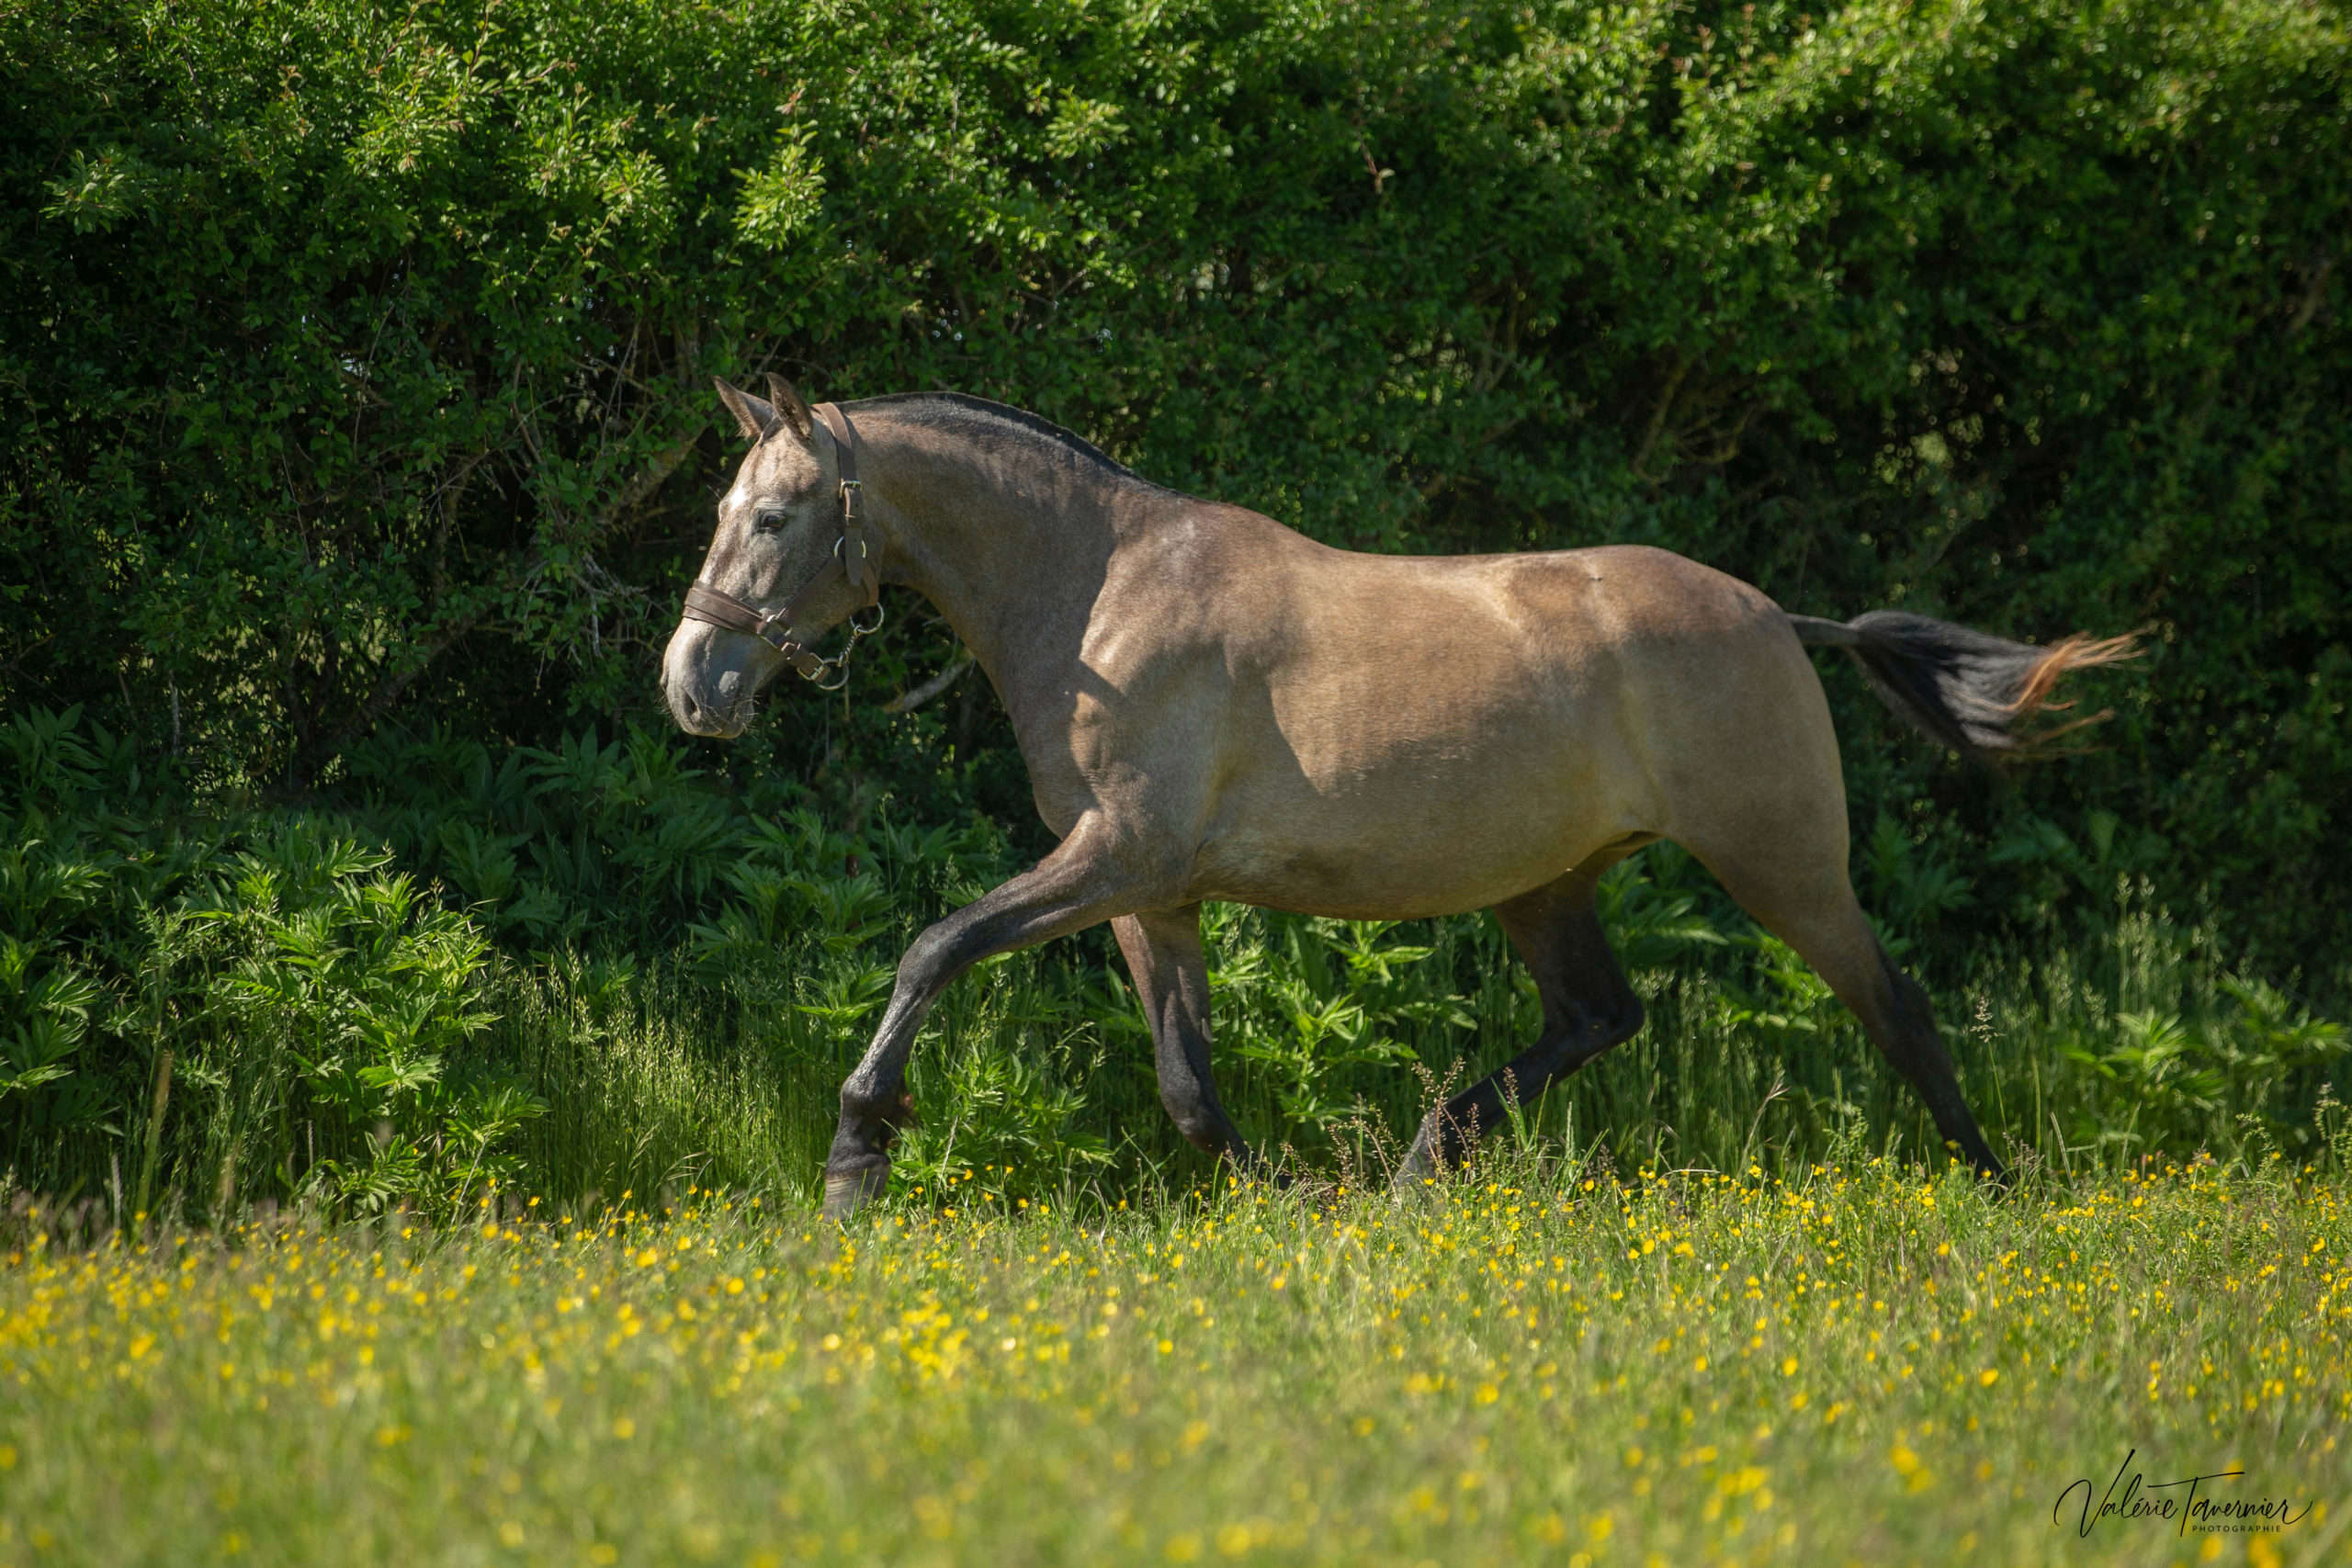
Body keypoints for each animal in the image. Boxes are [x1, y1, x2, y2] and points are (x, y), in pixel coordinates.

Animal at [658, 373, 2135, 1222]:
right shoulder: (1150, 891)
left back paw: (1995, 1193)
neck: (1098, 593)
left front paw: (855, 1160)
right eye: (726, 512)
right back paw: (1428, 1162)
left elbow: (934, 946)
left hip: (1781, 863)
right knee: (1599, 1015)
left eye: (775, 517)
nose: (692, 684)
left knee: (1896, 1008)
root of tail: (1778, 615)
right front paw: (1306, 1201)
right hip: (1547, 884)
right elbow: (1187, 1086)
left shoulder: (1115, 858)